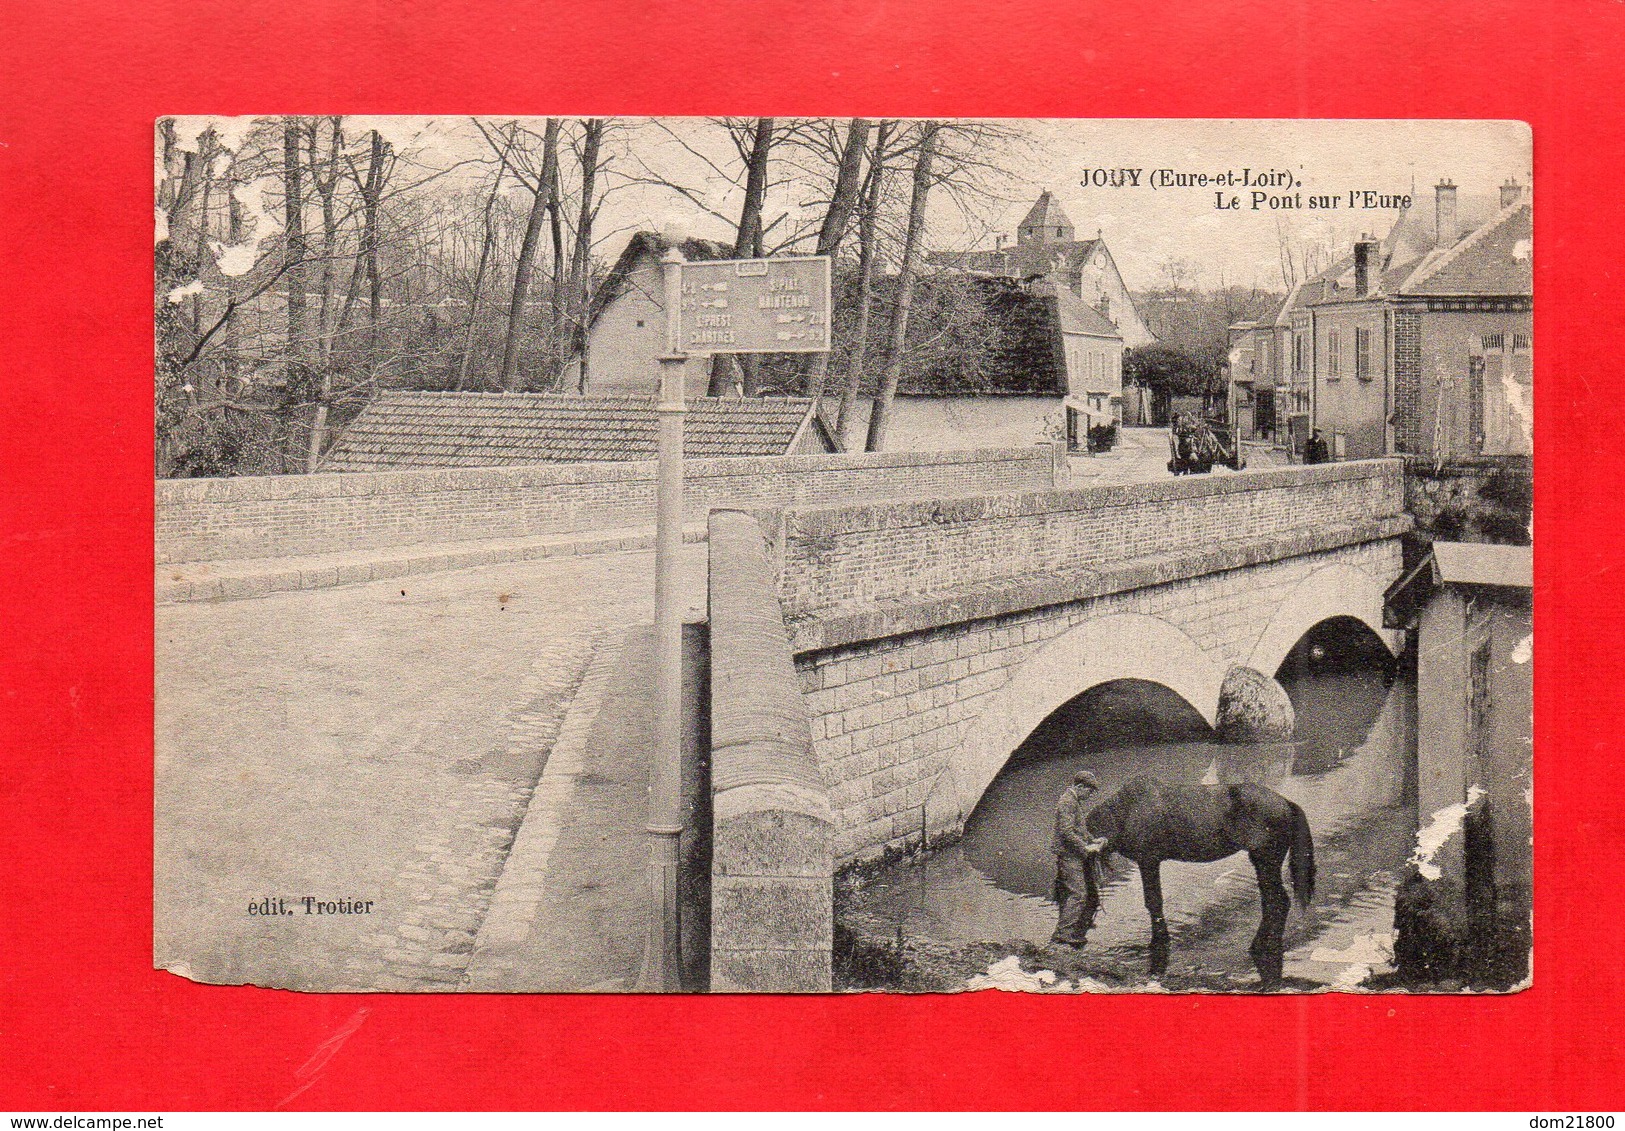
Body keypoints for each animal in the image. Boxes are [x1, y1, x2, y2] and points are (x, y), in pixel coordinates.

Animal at [1079, 773, 1319, 988]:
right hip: (1262, 862)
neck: (1126, 809)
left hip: (1266, 860)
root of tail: (1285, 803)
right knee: (1273, 901)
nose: (1074, 940)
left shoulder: (1148, 860)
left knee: (1278, 901)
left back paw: (1262, 945)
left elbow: (1154, 902)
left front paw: (1159, 941)